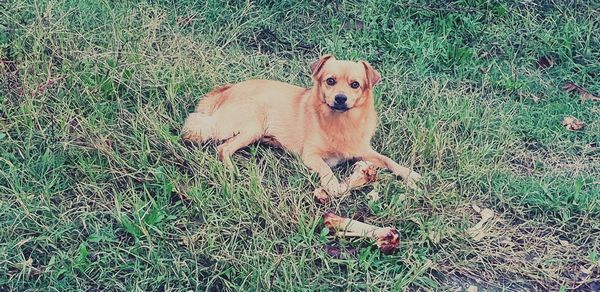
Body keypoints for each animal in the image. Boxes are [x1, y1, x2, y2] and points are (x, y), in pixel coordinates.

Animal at [183, 54, 422, 196]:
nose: (341, 98)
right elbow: (326, 169)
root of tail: (226, 90)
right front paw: (334, 185)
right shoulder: (311, 156)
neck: (340, 122)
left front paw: (409, 174)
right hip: (251, 127)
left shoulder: (364, 151)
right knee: (222, 147)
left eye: (355, 85)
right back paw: (232, 171)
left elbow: (388, 160)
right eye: (330, 81)